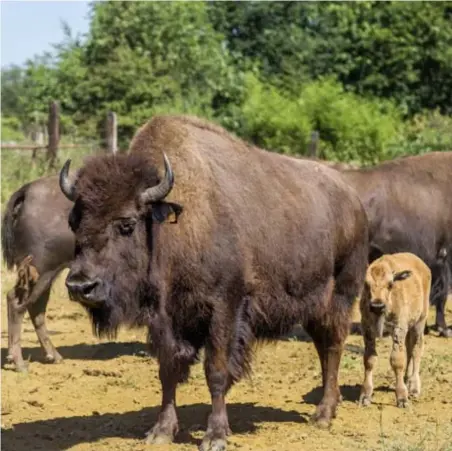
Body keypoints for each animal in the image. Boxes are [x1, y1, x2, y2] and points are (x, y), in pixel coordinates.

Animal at [1, 176, 74, 370]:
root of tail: (27, 191)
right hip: (41, 270)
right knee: (18, 302)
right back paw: (19, 363)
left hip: (48, 274)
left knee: (35, 308)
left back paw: (53, 356)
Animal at [58, 115, 370, 450]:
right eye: (73, 222)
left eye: (127, 224)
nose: (80, 286)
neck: (173, 223)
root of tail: (353, 200)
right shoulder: (165, 319)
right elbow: (168, 370)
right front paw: (161, 431)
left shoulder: (225, 308)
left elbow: (216, 371)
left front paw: (215, 436)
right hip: (313, 306)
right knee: (323, 347)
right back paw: (329, 407)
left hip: (340, 295)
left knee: (334, 345)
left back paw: (323, 414)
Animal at [358, 254, 430, 410]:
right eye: (366, 284)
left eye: (390, 284)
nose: (377, 305)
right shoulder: (367, 330)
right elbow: (369, 360)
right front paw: (365, 396)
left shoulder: (398, 329)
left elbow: (397, 360)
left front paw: (402, 398)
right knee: (409, 349)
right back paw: (407, 379)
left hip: (420, 322)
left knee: (416, 349)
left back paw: (414, 387)